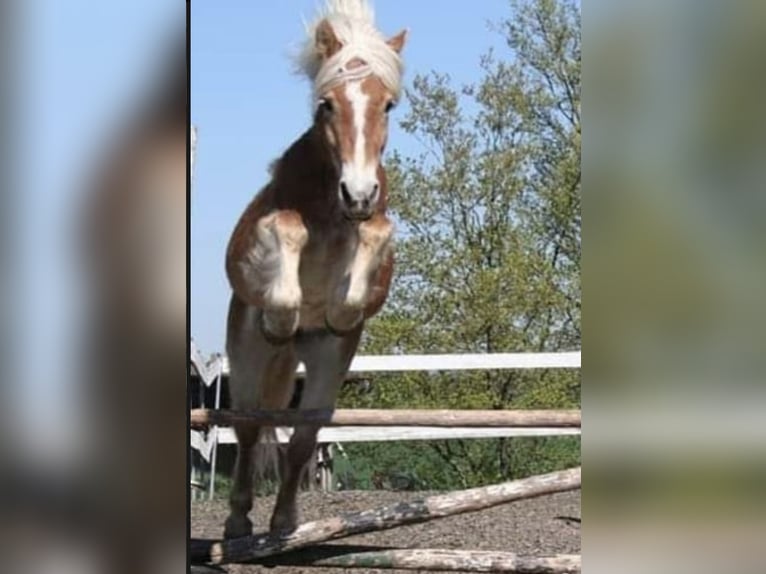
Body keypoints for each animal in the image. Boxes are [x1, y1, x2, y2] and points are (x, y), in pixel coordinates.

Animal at [220, 0, 404, 540]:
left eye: (388, 105)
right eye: (327, 104)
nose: (358, 194)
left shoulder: (373, 240)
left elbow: (374, 240)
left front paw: (339, 307)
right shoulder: (258, 241)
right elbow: (287, 229)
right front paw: (283, 314)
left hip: (326, 361)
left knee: (302, 436)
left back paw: (285, 522)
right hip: (246, 352)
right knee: (248, 427)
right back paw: (238, 522)